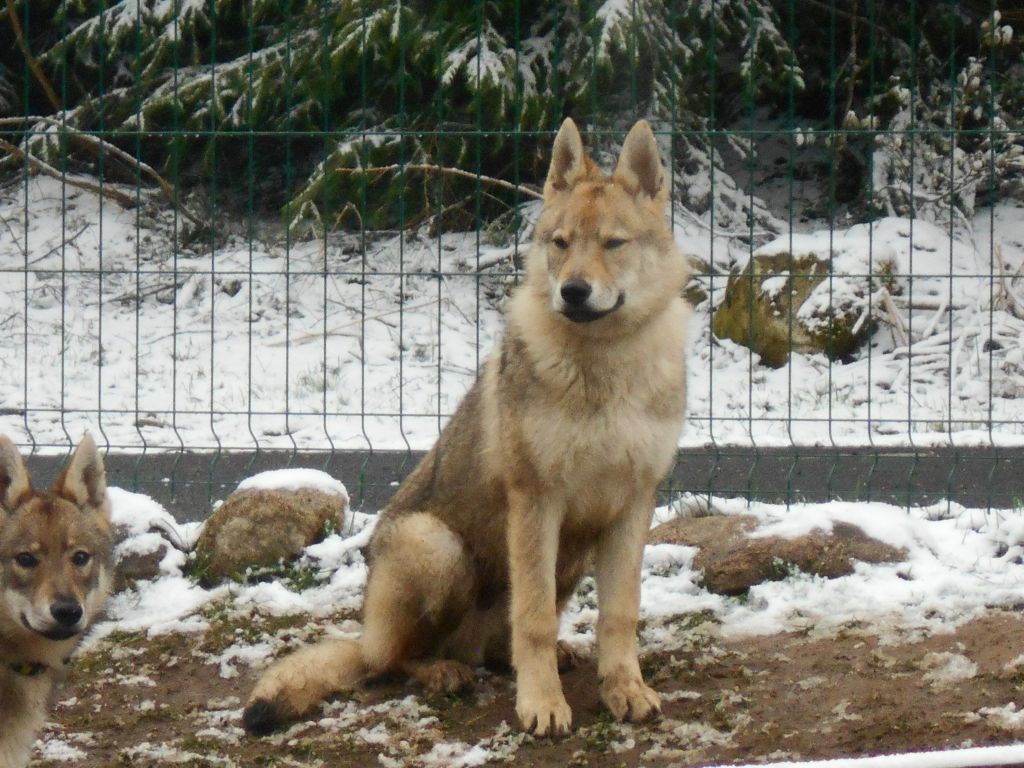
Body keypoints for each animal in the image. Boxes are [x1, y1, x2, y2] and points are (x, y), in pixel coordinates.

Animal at [243, 117, 690, 738]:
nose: (573, 291)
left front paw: (624, 689)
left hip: (568, 559)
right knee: (393, 661)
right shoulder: (536, 501)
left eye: (612, 243)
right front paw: (542, 704)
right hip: (437, 547)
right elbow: (532, 620)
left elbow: (620, 616)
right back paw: (441, 672)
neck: (603, 368)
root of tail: (364, 636)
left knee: (497, 649)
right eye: (561, 243)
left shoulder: (632, 506)